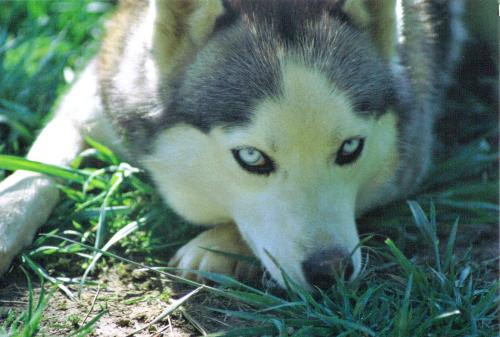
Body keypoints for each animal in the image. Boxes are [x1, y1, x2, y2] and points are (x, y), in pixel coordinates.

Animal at [0, 0, 468, 288]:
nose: (331, 270)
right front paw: (8, 217)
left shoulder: (412, 151)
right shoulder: (101, 88)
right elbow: (36, 169)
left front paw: (219, 245)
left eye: (351, 149)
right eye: (251, 157)